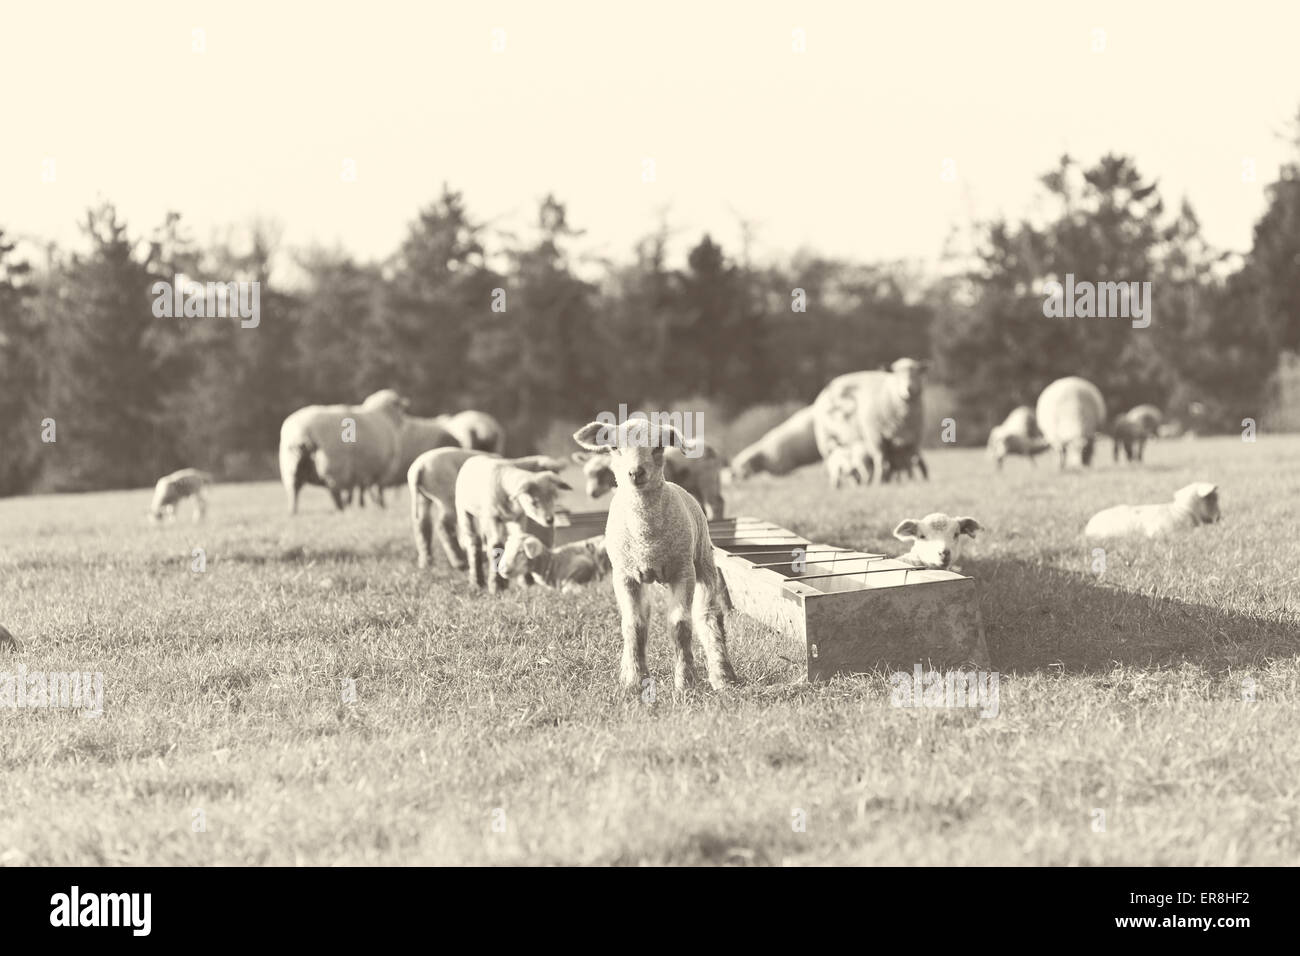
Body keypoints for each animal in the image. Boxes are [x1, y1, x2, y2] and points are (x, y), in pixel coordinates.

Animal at [574, 418, 738, 697]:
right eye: (613, 446)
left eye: (660, 446)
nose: (636, 473)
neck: (647, 540)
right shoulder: (625, 577)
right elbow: (634, 625)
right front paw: (635, 680)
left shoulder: (683, 572)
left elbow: (680, 626)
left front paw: (686, 682)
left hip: (703, 559)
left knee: (708, 614)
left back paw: (723, 674)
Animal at [806, 356, 930, 486]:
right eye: (896, 374)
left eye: (917, 373)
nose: (908, 389)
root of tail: (828, 387)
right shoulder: (876, 437)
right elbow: (881, 460)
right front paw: (879, 481)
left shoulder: (915, 439)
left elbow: (910, 462)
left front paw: (911, 480)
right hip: (826, 442)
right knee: (835, 465)